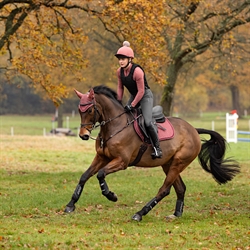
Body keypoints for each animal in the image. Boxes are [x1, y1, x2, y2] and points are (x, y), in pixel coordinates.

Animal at [64, 85, 240, 221]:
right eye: (79, 110)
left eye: (89, 110)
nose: (83, 135)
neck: (114, 126)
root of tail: (194, 130)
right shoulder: (102, 157)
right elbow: (85, 176)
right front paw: (70, 205)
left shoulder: (121, 161)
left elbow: (100, 174)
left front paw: (111, 195)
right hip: (168, 164)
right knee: (180, 188)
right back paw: (176, 214)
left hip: (178, 163)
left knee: (164, 190)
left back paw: (140, 213)